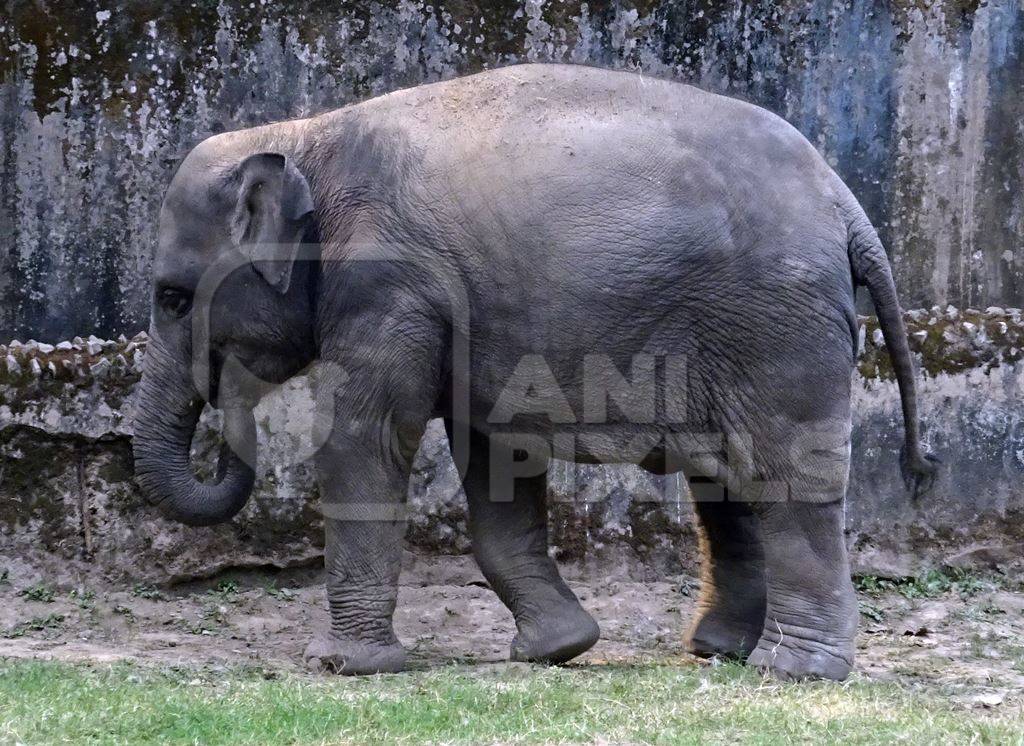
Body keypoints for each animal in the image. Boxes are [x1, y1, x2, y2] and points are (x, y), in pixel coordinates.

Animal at [134, 63, 937, 679]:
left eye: (172, 297)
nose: (225, 405)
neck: (303, 135)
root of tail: (845, 202)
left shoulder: (388, 285)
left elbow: (366, 440)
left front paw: (340, 666)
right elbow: (497, 461)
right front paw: (557, 650)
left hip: (773, 323)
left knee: (783, 476)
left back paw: (791, 670)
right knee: (727, 478)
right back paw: (719, 651)